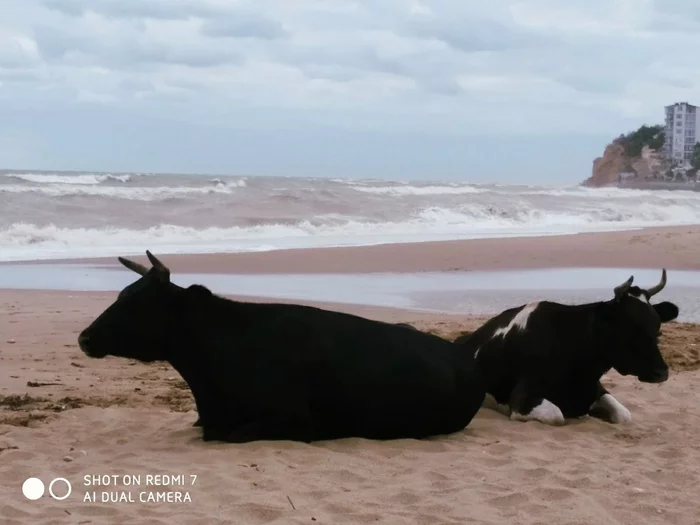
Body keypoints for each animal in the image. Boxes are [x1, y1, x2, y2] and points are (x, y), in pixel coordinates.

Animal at [452, 269, 679, 426]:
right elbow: (557, 415)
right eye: (629, 328)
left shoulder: (595, 389)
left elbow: (624, 415)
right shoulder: (522, 399)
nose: (662, 372)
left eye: (657, 329)